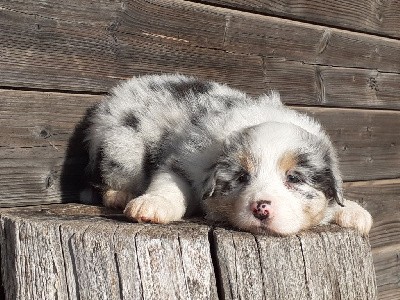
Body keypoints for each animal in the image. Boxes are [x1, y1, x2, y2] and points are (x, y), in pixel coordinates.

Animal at [83, 74, 374, 236]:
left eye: (294, 178)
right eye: (242, 177)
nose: (261, 208)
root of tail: (119, 91)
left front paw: (355, 213)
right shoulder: (179, 162)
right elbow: (168, 186)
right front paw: (151, 206)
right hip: (124, 146)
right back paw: (122, 197)